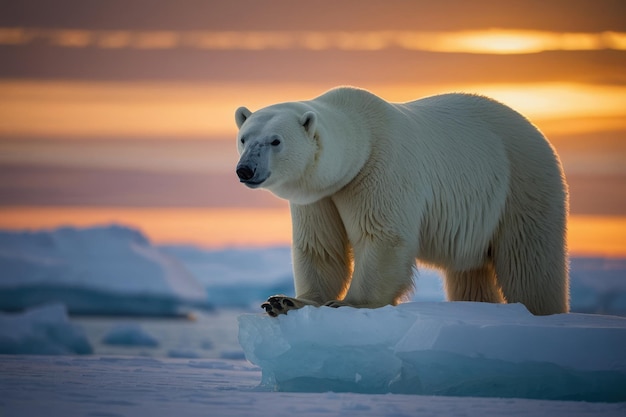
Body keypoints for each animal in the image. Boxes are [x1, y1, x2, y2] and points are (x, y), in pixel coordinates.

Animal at [236, 87, 568, 316]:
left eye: (276, 141)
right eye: (244, 138)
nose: (245, 170)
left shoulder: (379, 170)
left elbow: (382, 237)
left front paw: (348, 304)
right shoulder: (320, 195)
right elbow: (321, 247)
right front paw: (284, 301)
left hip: (522, 184)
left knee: (529, 262)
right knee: (469, 273)